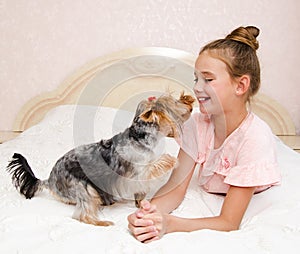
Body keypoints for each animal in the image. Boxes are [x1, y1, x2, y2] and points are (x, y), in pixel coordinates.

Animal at [6, 93, 195, 226]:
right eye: (172, 102)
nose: (189, 102)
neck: (141, 136)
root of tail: (49, 180)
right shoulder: (138, 172)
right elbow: (155, 164)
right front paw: (171, 160)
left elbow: (140, 193)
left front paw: (141, 204)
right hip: (82, 187)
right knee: (82, 215)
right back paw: (103, 222)